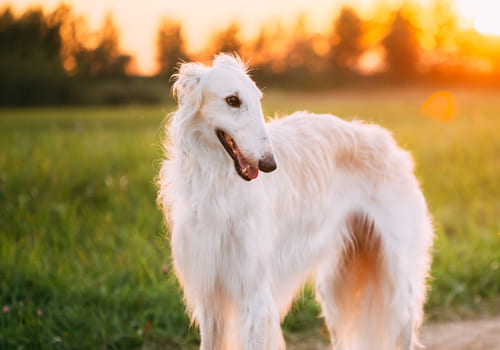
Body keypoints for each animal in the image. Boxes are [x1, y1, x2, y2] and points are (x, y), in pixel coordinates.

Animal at [157, 54, 434, 350]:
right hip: (337, 288)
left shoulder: (253, 294)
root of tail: (392, 145)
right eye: (232, 100)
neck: (218, 185)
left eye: (258, 99)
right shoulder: (211, 296)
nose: (269, 164)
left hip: (397, 283)